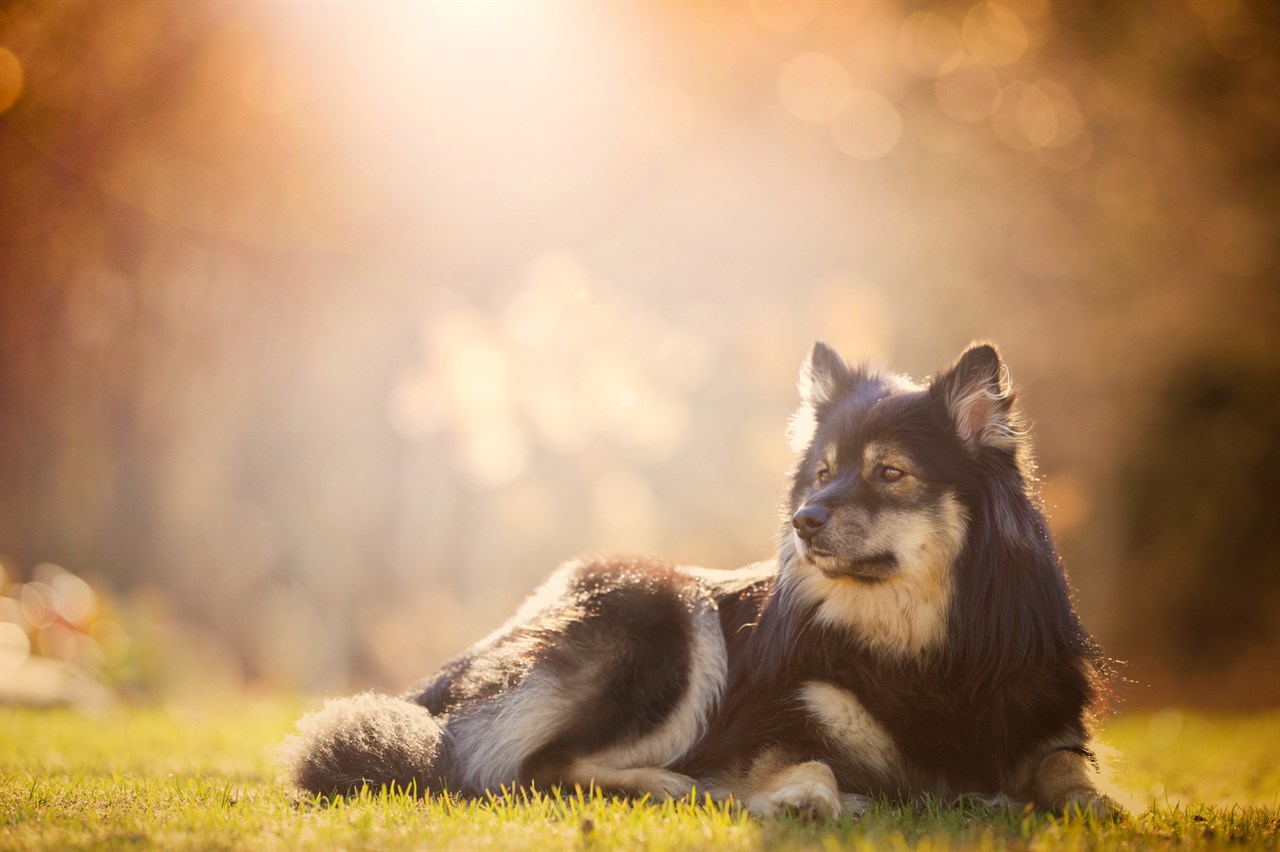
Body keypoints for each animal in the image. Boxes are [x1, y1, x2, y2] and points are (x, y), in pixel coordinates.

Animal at [282, 337, 1121, 818]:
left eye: (890, 473)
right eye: (823, 473)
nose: (804, 520)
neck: (926, 650)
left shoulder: (1049, 724)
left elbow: (1067, 772)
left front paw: (1100, 805)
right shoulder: (773, 719)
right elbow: (808, 757)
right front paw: (804, 798)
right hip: (664, 612)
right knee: (536, 769)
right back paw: (676, 787)